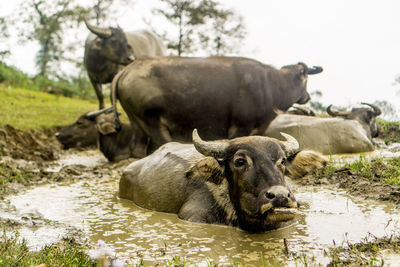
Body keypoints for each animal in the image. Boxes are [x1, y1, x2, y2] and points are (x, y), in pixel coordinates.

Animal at [111, 55, 324, 158]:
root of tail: (128, 69)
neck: (272, 85)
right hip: (153, 121)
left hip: (137, 122)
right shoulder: (240, 128)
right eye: (305, 77)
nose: (307, 97)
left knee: (137, 148)